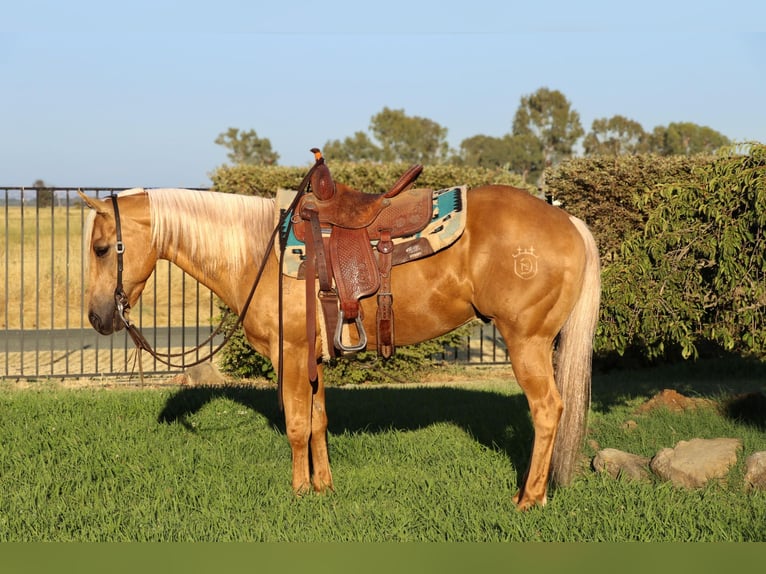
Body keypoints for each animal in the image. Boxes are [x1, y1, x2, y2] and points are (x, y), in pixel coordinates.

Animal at [79, 178, 600, 510]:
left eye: (102, 248)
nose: (98, 317)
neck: (261, 253)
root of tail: (568, 220)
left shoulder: (289, 356)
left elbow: (295, 426)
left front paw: (298, 493)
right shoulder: (312, 358)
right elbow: (318, 422)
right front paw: (324, 488)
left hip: (526, 342)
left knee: (548, 410)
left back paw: (530, 499)